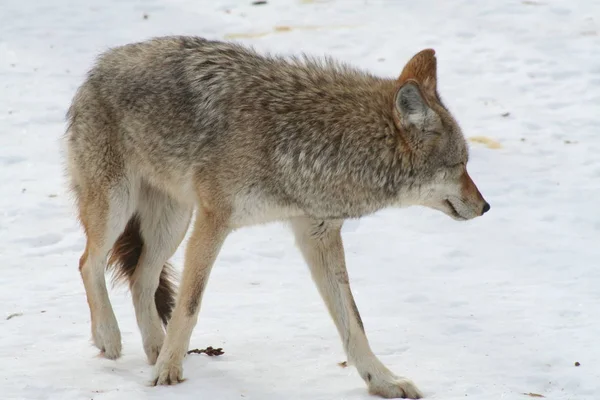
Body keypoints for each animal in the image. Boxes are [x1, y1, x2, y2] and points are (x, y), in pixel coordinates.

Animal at [64, 36, 488, 398]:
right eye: (459, 165)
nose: (485, 206)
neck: (317, 146)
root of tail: (102, 62)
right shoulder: (214, 221)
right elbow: (189, 306)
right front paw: (168, 372)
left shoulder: (318, 232)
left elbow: (354, 323)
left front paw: (382, 381)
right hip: (119, 208)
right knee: (88, 262)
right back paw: (110, 338)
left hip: (172, 224)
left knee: (141, 278)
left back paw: (154, 347)